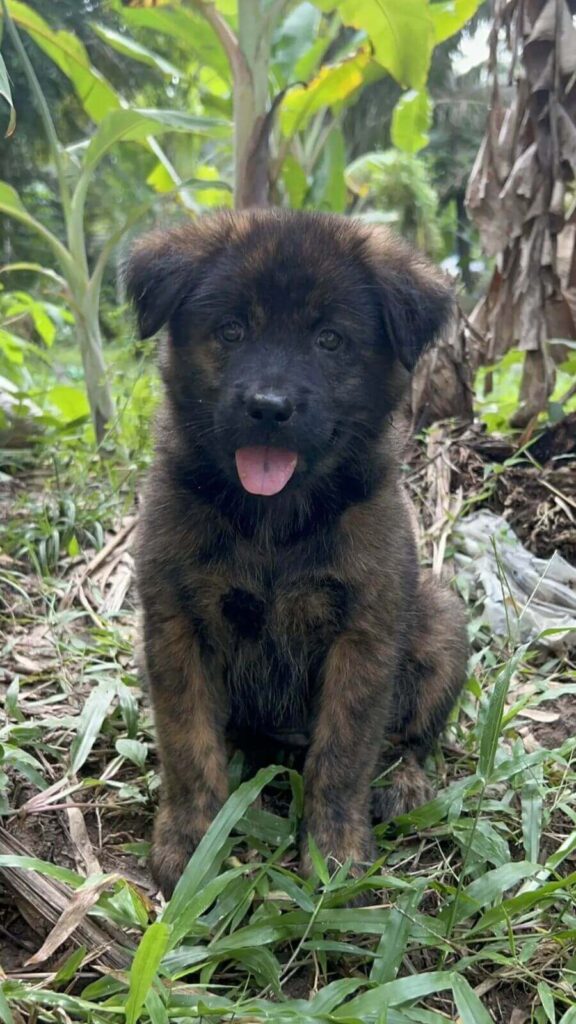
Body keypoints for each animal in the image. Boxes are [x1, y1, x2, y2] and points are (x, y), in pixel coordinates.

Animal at [125, 209, 467, 897]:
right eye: (232, 330)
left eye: (330, 340)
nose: (269, 408)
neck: (274, 523)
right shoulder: (175, 625)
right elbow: (187, 742)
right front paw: (190, 843)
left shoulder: (363, 635)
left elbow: (342, 755)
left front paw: (335, 857)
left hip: (441, 621)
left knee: (411, 736)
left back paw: (403, 779)